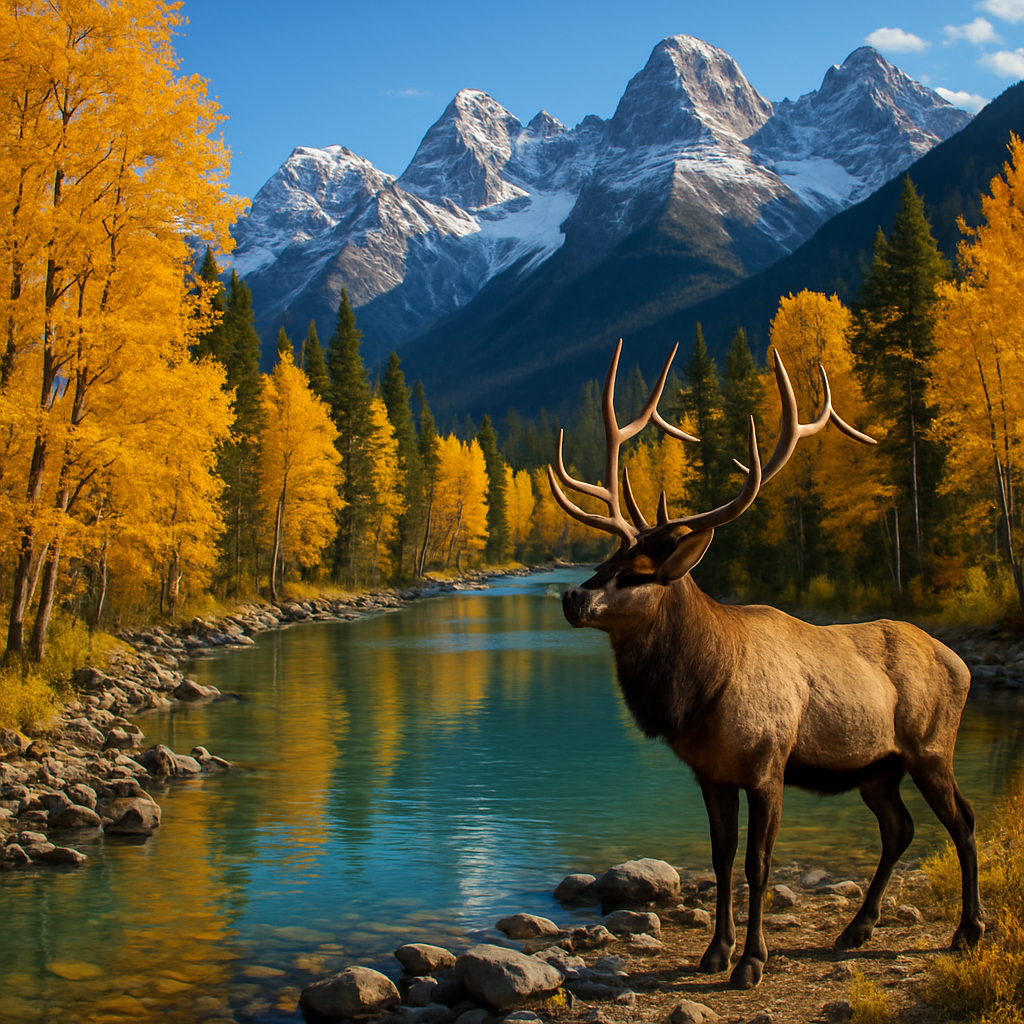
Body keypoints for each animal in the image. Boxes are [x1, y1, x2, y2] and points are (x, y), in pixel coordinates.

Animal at [548, 340, 983, 990]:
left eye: (641, 573)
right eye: (605, 560)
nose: (572, 597)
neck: (700, 691)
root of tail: (962, 664)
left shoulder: (767, 762)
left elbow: (758, 862)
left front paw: (752, 960)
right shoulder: (710, 773)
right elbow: (720, 857)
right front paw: (715, 952)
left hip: (931, 746)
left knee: (963, 820)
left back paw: (968, 930)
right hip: (877, 767)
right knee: (899, 828)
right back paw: (856, 928)